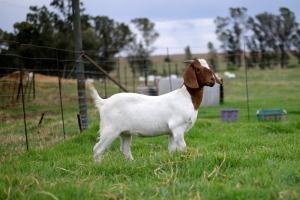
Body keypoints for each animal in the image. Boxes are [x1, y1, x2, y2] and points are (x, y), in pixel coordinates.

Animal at [86, 58, 220, 163]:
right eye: (198, 69)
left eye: (209, 67)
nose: (212, 80)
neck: (186, 97)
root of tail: (103, 102)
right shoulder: (177, 128)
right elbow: (183, 148)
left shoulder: (171, 132)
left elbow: (172, 150)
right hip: (110, 129)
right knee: (98, 149)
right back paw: (98, 166)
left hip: (125, 132)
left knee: (125, 149)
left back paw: (133, 164)